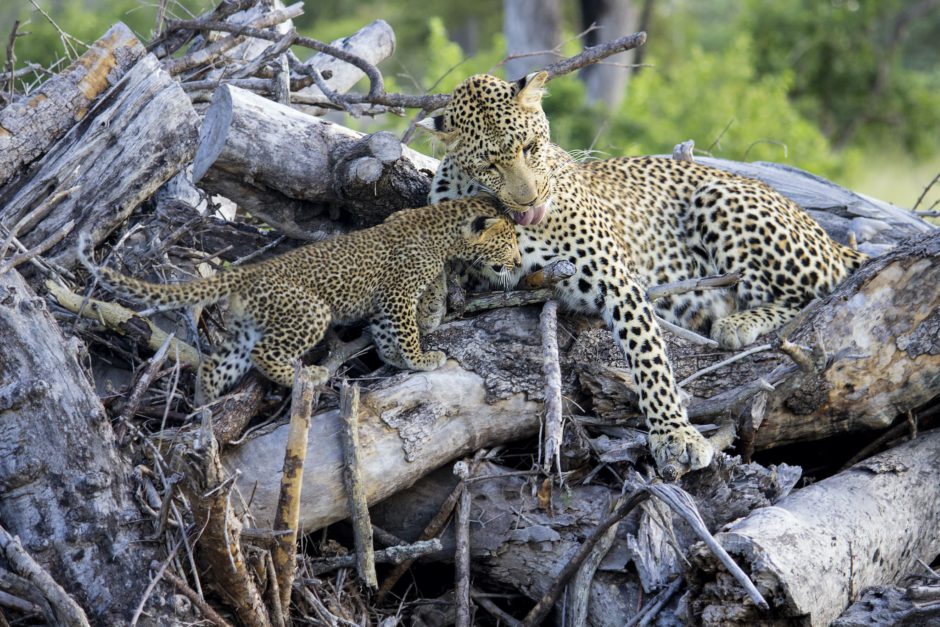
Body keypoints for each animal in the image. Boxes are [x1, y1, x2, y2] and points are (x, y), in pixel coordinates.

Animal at [420, 72, 868, 476]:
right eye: (489, 164)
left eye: (530, 147)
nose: (530, 199)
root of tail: (825, 235)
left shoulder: (617, 280)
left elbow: (648, 356)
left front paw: (675, 435)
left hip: (720, 200)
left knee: (818, 292)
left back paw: (739, 323)